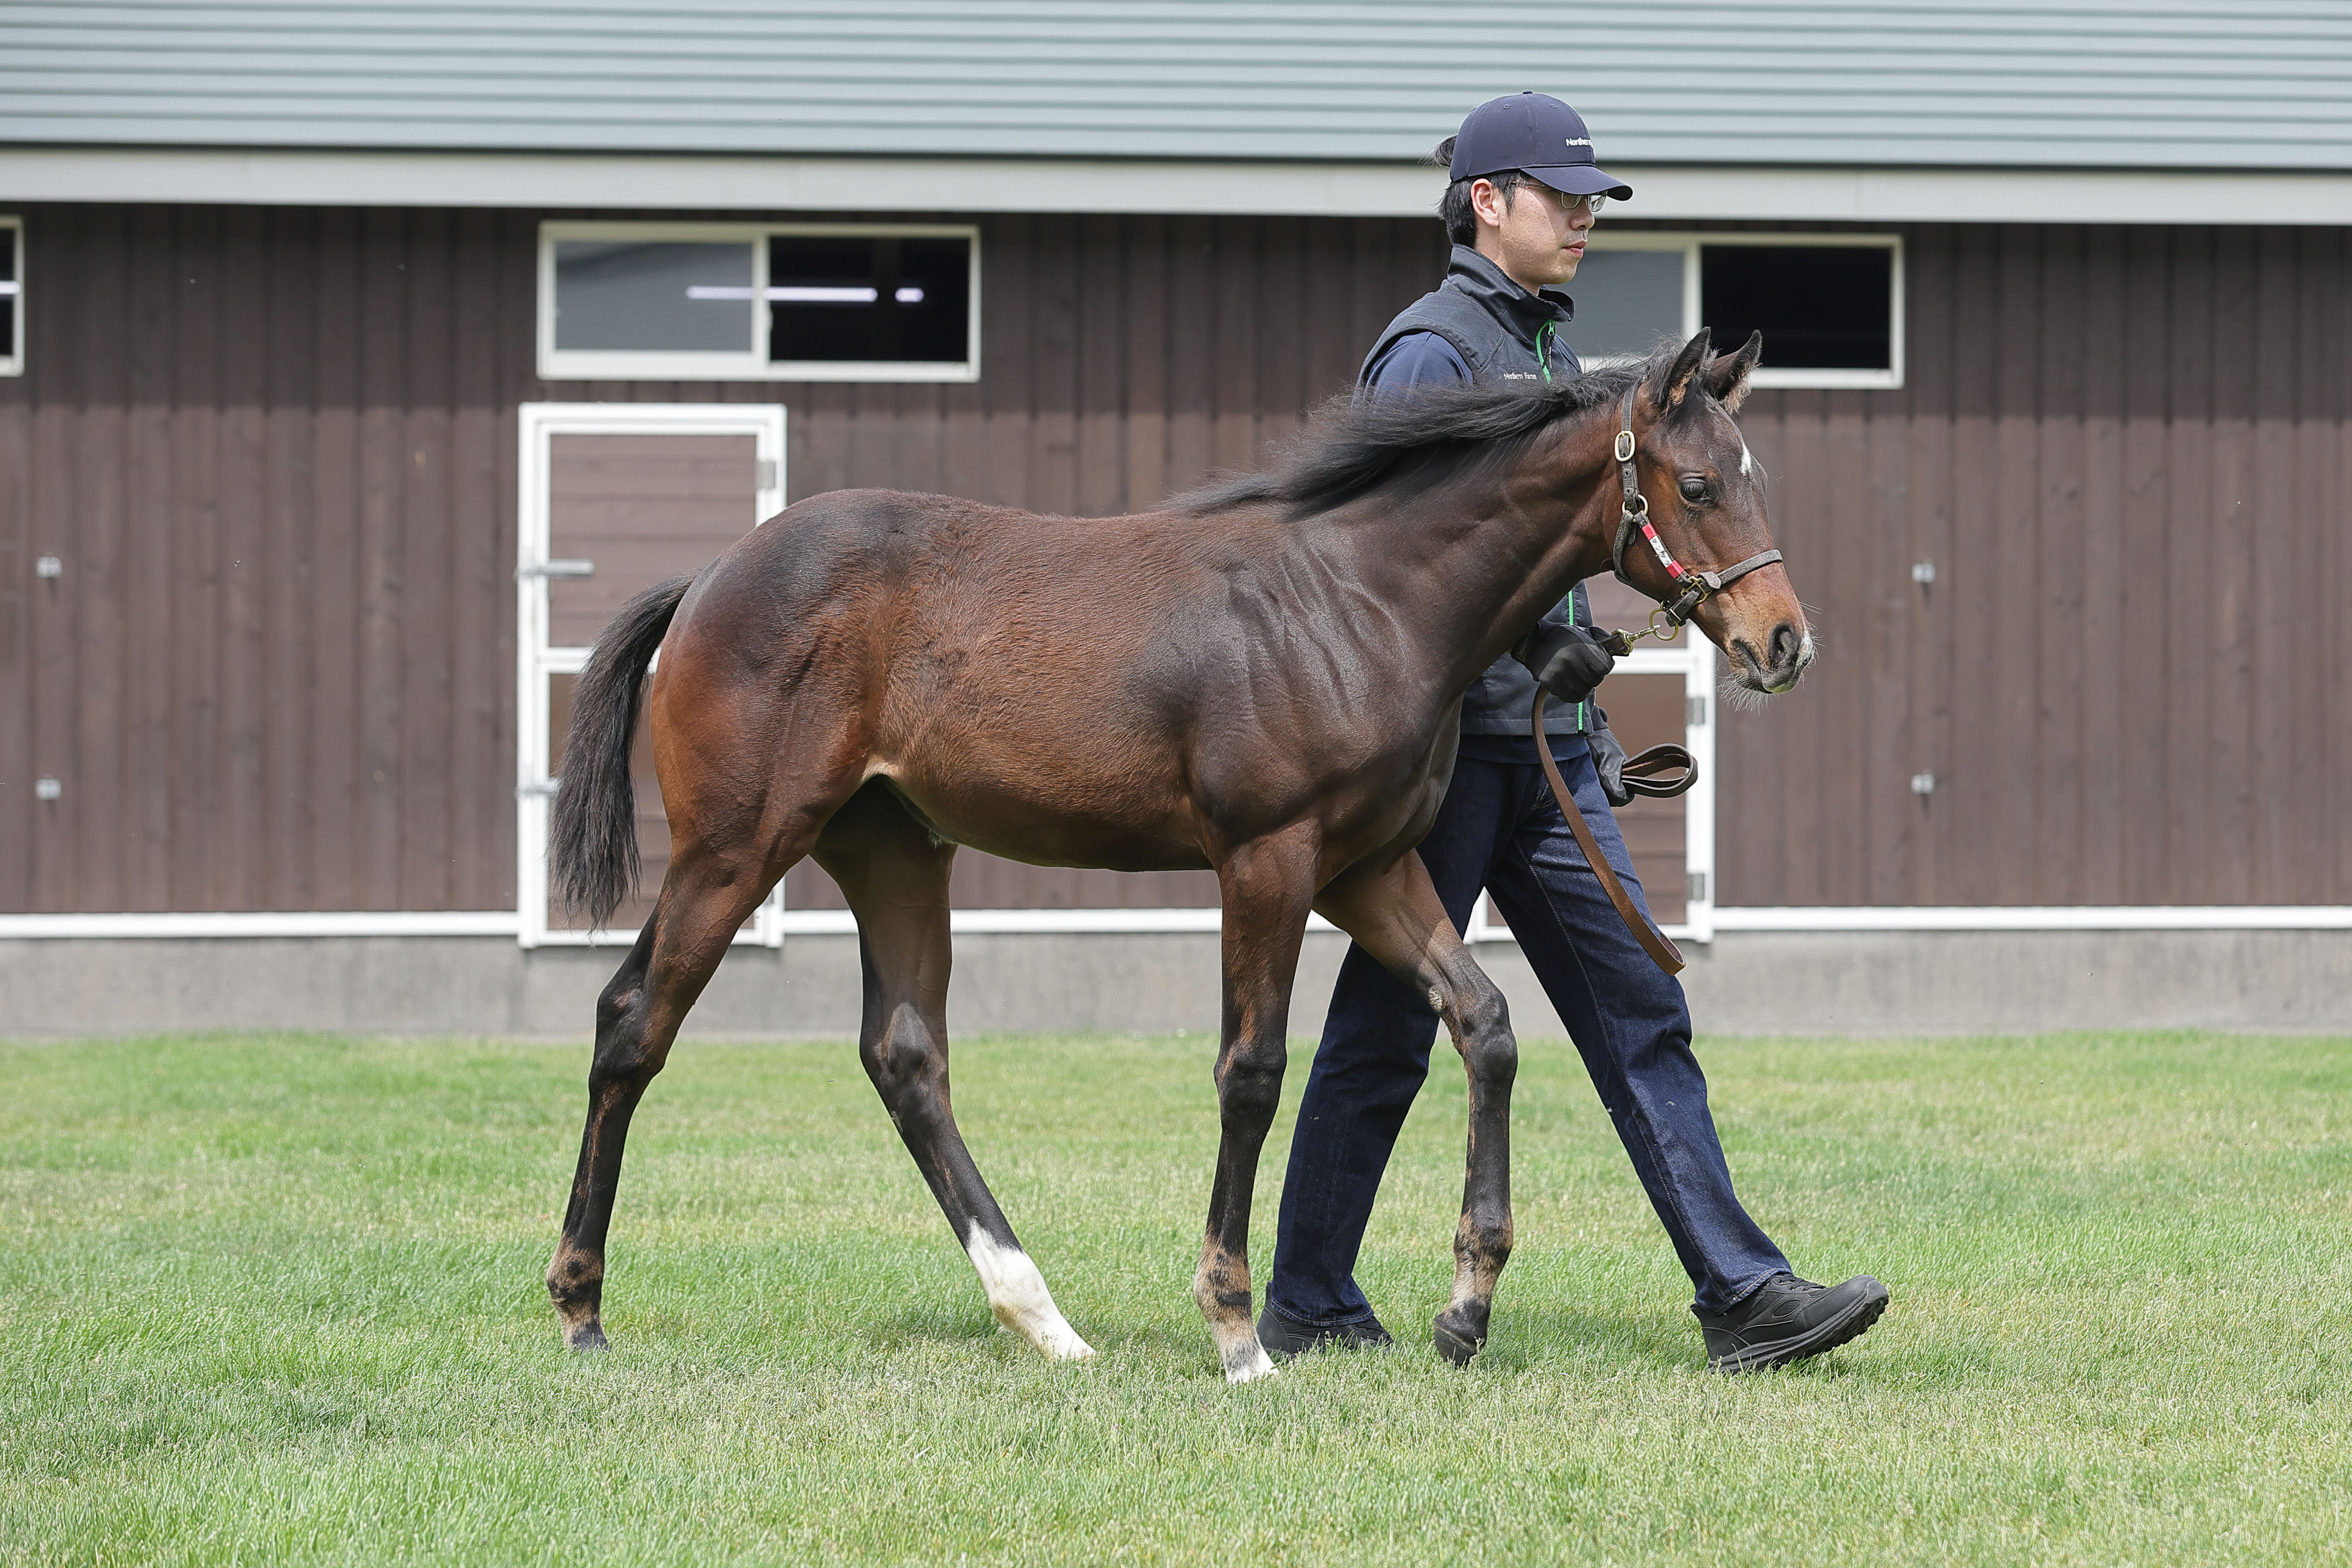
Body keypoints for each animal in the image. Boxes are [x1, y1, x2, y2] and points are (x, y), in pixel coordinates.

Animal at [544, 327, 1812, 1382]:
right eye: (1697, 484)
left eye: (1756, 479)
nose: (1782, 641)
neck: (1357, 600)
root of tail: (706, 580)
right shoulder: (1266, 859)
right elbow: (1251, 1071)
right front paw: (1236, 1330)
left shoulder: (1367, 868)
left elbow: (1486, 1023)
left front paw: (1466, 1304)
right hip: (735, 847)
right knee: (632, 1020)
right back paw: (580, 1304)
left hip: (894, 851)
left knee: (905, 1056)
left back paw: (1044, 1321)